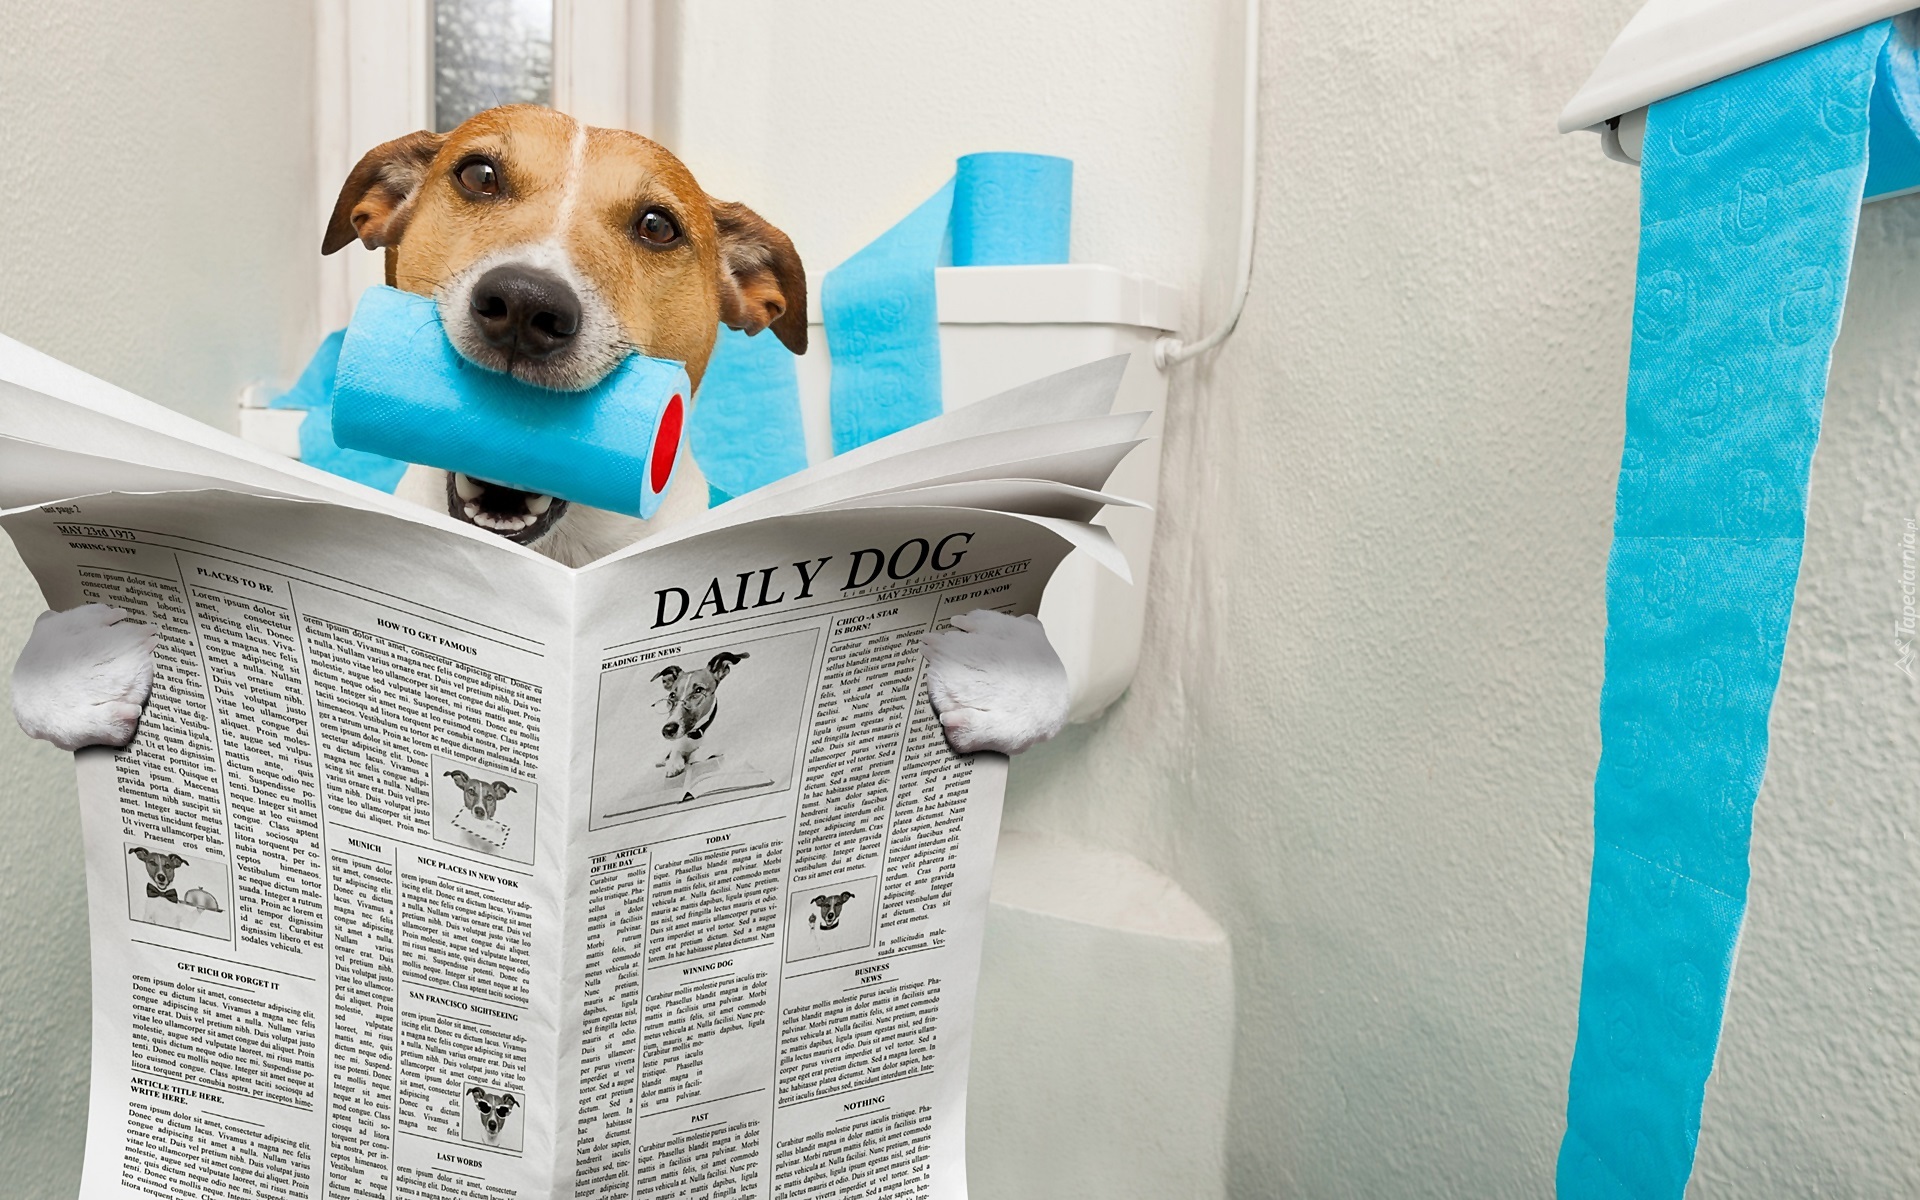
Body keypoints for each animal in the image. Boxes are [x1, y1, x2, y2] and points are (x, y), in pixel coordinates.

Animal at [660, 648, 748, 783]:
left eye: (699, 690)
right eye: (672, 695)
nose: (668, 730)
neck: (694, 735)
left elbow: (699, 753)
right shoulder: (677, 744)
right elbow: (675, 751)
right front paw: (673, 763)